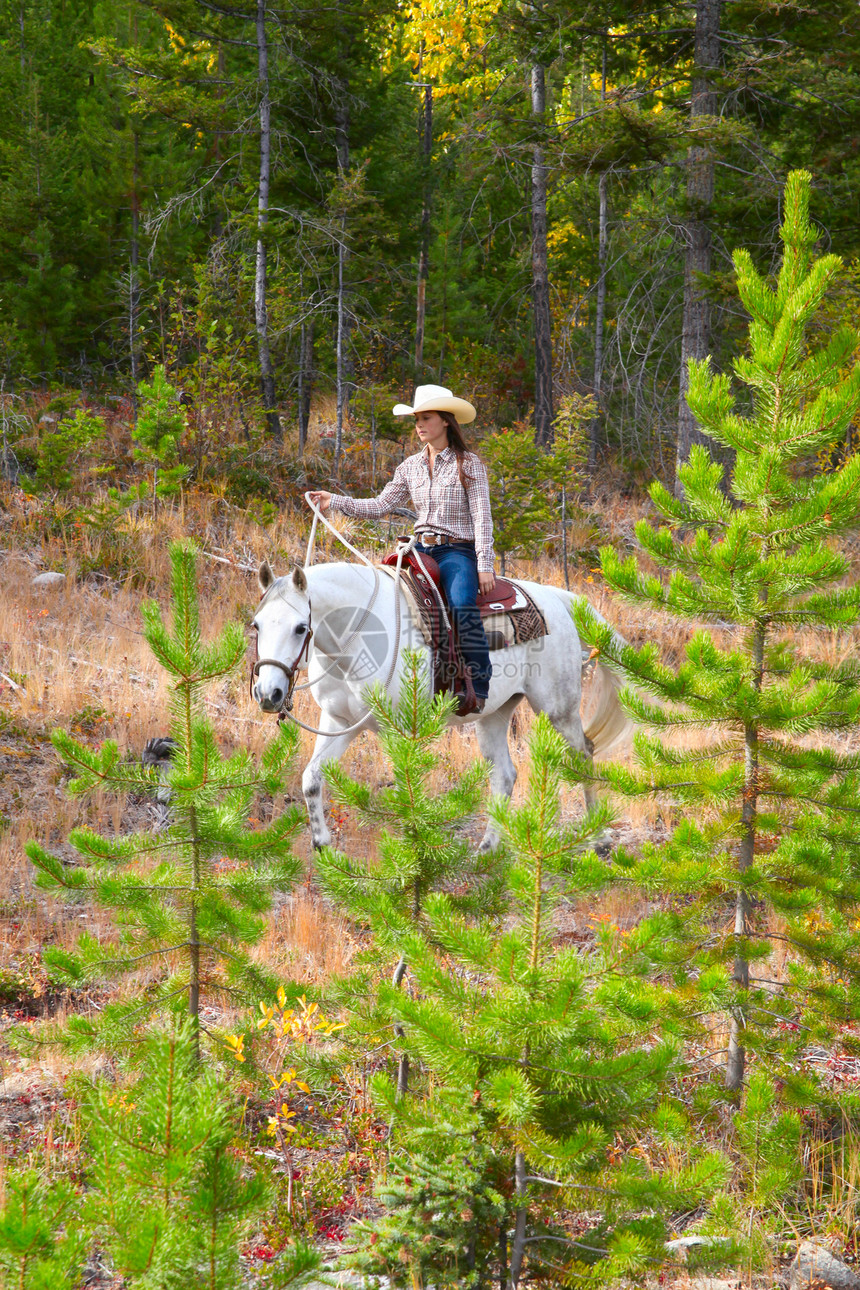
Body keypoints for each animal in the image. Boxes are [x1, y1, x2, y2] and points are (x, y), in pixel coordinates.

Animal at [248, 562, 631, 846]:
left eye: (301, 627)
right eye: (256, 625)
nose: (268, 694)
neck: (356, 638)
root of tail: (555, 597)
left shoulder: (398, 729)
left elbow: (405, 791)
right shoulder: (339, 722)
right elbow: (311, 779)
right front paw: (324, 848)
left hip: (558, 709)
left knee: (583, 755)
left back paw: (598, 839)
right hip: (494, 714)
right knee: (504, 775)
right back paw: (486, 851)